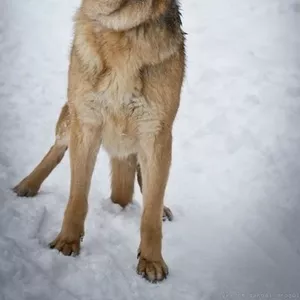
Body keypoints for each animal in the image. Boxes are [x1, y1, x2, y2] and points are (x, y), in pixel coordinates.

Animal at [13, 0, 185, 282]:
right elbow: (77, 196)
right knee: (56, 150)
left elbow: (150, 214)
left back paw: (162, 209)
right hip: (70, 117)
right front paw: (67, 242)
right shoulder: (86, 122)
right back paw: (27, 185)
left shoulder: (156, 135)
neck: (122, 27)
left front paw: (151, 261)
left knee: (149, 189)